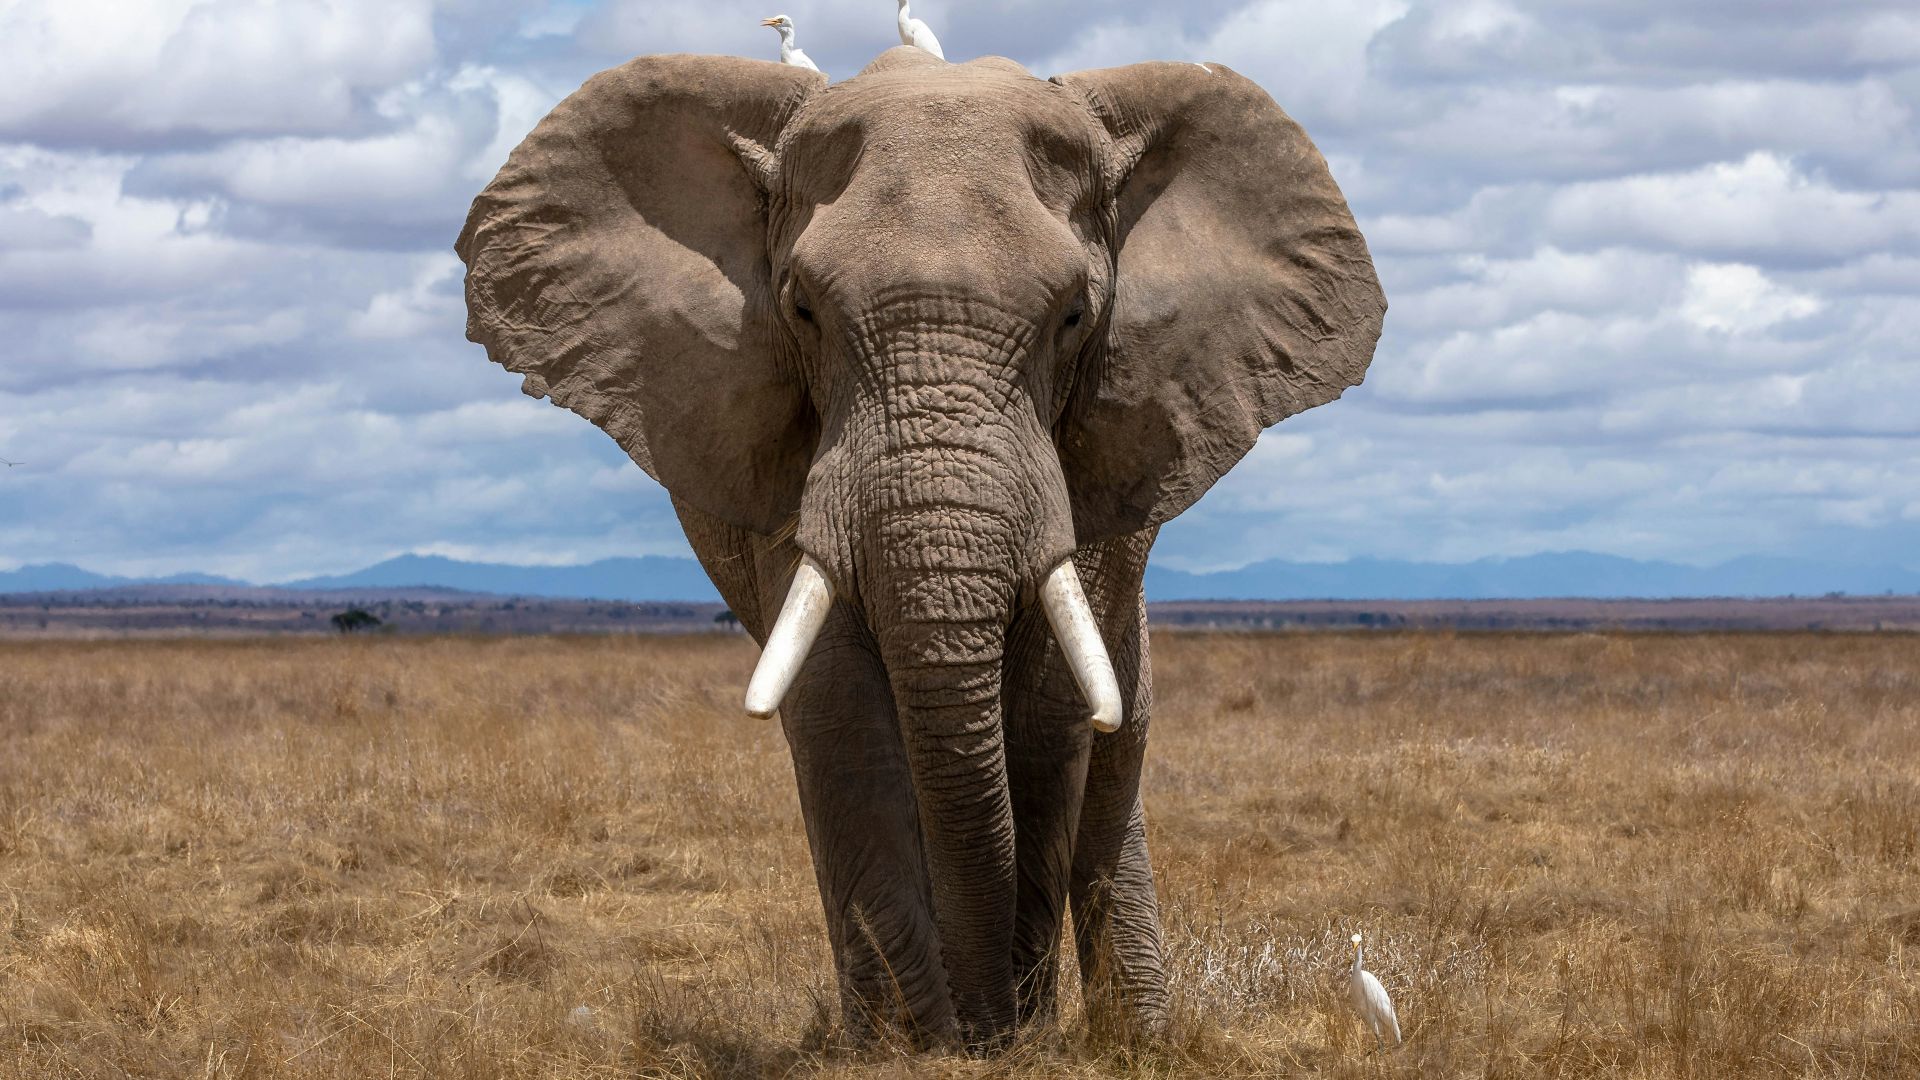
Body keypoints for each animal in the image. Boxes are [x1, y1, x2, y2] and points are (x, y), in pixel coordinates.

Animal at [456, 46, 1384, 1051]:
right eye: (803, 311)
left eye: (1073, 316)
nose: (988, 1030)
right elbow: (838, 709)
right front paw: (912, 1045)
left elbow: (1051, 712)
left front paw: (1010, 1037)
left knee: (1116, 743)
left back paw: (1138, 1038)